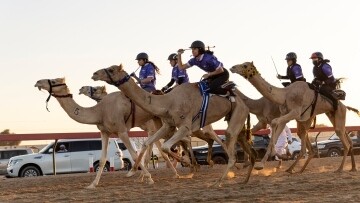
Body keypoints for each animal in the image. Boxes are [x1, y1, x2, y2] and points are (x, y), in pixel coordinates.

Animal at [34, 78, 181, 189]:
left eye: (53, 81)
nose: (38, 82)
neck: (100, 111)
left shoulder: (122, 130)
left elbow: (135, 154)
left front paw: (147, 177)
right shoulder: (105, 132)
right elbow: (103, 159)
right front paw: (92, 184)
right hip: (160, 121)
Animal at [91, 63, 256, 186]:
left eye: (111, 69)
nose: (94, 74)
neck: (168, 101)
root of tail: (244, 103)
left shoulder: (185, 126)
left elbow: (166, 146)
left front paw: (188, 165)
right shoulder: (168, 125)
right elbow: (147, 143)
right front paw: (132, 172)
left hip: (236, 114)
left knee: (229, 148)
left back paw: (219, 181)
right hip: (235, 120)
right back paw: (244, 176)